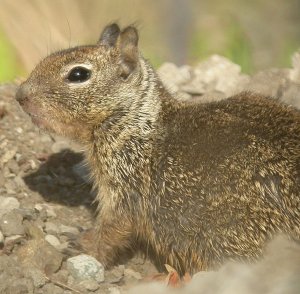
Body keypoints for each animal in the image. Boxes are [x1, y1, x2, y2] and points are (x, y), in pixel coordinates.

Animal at [15, 24, 300, 274]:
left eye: (78, 75)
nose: (20, 95)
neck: (137, 122)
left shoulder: (125, 190)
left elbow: (112, 231)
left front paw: (83, 250)